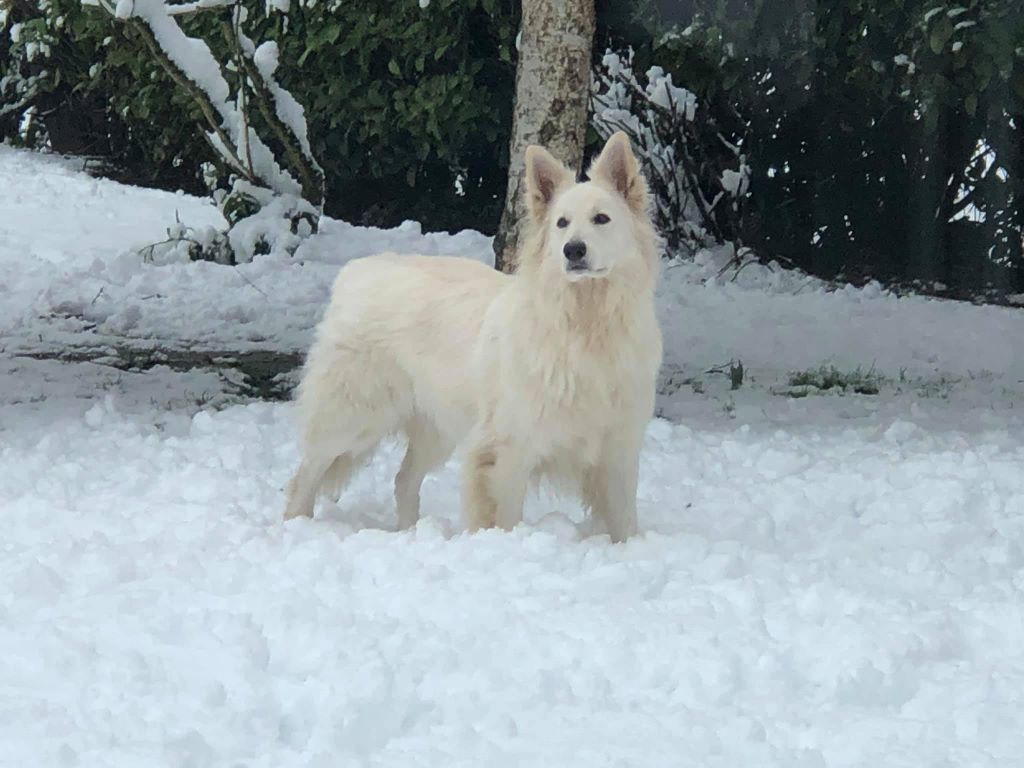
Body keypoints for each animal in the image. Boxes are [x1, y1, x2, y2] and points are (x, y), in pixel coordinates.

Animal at [284, 131, 659, 540]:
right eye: (562, 223)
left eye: (601, 219)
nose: (573, 250)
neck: (586, 325)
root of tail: (356, 271)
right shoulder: (507, 452)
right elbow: (505, 521)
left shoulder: (618, 455)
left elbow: (625, 524)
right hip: (351, 421)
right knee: (303, 476)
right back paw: (296, 526)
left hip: (437, 430)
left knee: (403, 479)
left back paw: (411, 535)